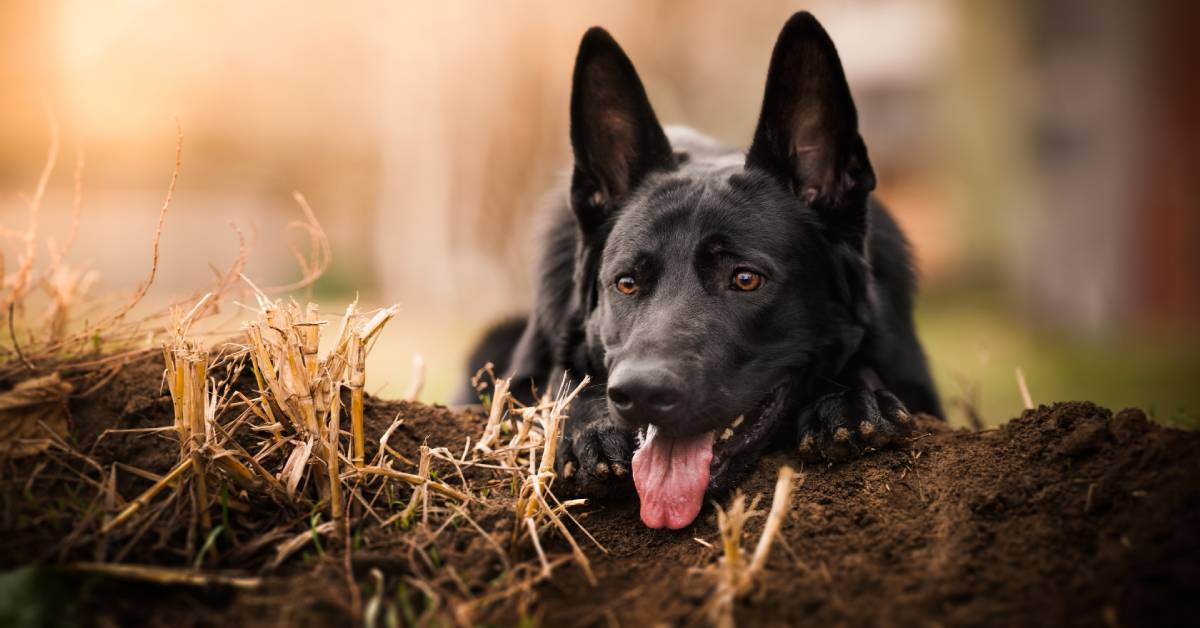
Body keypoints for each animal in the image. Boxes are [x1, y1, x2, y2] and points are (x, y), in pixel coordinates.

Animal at [463, 12, 940, 528]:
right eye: (625, 284)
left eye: (746, 279)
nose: (641, 393)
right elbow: (561, 382)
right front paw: (593, 428)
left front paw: (853, 398)